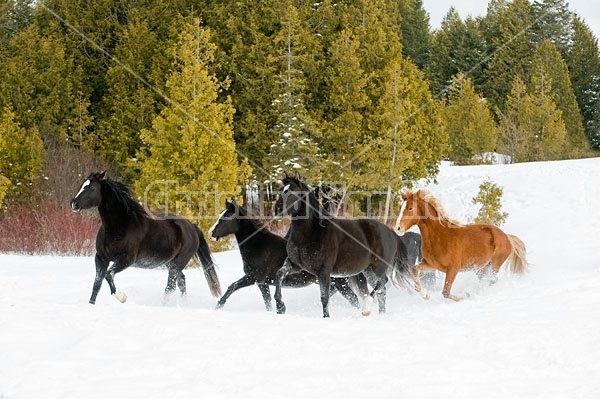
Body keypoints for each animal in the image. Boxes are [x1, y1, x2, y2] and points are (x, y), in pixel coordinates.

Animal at [70, 170, 220, 304]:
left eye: (92, 188)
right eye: (83, 185)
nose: (74, 203)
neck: (119, 225)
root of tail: (192, 227)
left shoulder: (126, 259)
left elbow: (108, 275)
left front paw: (122, 297)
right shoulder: (101, 258)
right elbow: (97, 284)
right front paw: (91, 304)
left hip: (177, 263)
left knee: (171, 286)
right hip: (170, 262)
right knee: (181, 281)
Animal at [209, 202, 358, 310]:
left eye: (225, 217)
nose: (211, 233)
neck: (258, 246)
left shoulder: (254, 277)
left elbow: (232, 286)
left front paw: (218, 306)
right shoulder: (262, 283)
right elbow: (268, 303)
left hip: (339, 283)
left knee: (354, 299)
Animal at [396, 190, 528, 300]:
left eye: (410, 208)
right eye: (400, 207)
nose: (398, 228)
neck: (440, 236)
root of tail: (506, 236)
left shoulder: (453, 269)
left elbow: (446, 292)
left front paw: (464, 295)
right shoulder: (431, 264)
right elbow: (415, 270)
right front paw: (426, 295)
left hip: (495, 264)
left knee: (491, 281)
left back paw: (476, 294)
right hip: (481, 267)